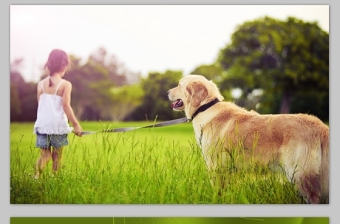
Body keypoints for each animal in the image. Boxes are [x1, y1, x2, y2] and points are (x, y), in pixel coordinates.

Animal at [168, 74, 330, 204]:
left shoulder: (215, 166)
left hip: (300, 175)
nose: (167, 92)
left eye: (179, 85)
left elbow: (217, 191)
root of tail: (321, 126)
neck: (205, 107)